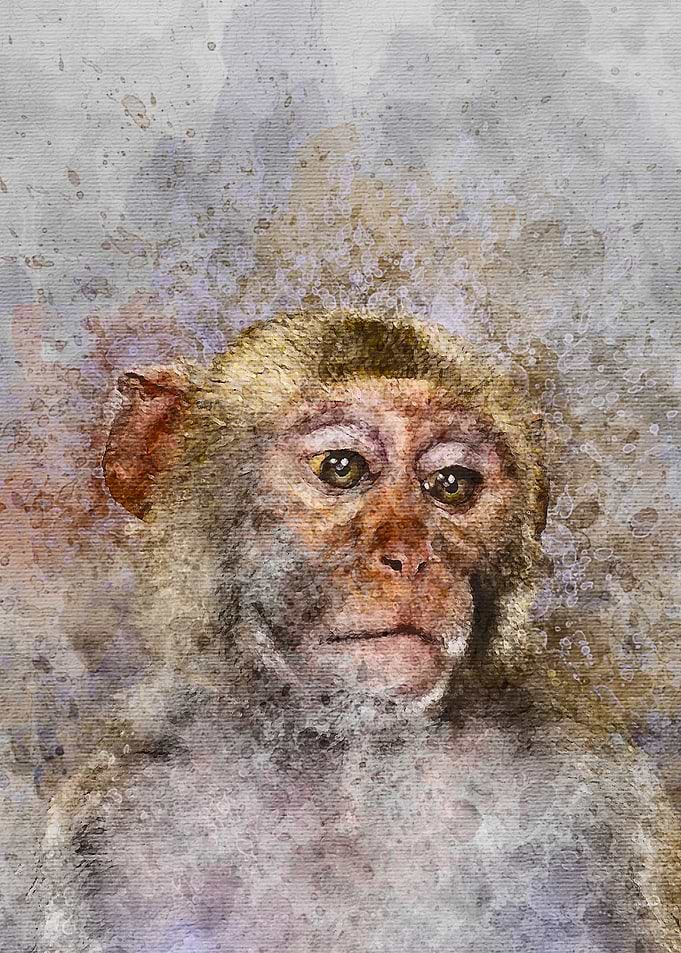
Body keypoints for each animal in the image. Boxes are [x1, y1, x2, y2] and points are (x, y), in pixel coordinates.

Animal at [42, 310, 681, 953]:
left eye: (452, 484)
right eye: (340, 468)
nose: (411, 556)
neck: (349, 757)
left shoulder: (599, 810)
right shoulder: (112, 821)